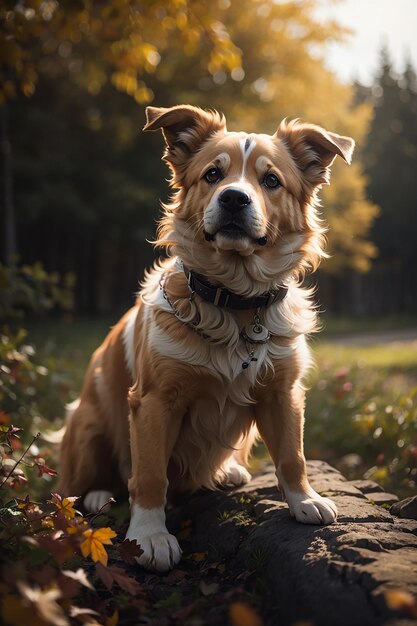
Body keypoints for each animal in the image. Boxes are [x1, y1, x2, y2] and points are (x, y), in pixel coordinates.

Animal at [57, 103, 352, 572]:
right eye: (213, 174)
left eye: (271, 180)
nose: (233, 198)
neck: (236, 301)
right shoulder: (154, 400)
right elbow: (149, 475)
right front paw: (150, 535)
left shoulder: (283, 391)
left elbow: (292, 455)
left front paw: (304, 500)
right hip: (87, 426)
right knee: (76, 488)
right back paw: (99, 496)